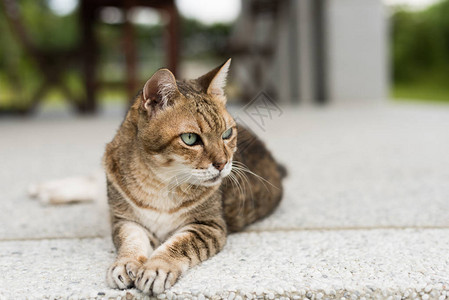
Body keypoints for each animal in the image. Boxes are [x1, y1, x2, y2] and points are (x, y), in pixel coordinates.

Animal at [102, 59, 284, 296]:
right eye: (190, 138)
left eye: (227, 134)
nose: (223, 163)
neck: (160, 181)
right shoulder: (125, 220)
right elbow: (131, 241)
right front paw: (125, 263)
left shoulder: (208, 226)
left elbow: (179, 245)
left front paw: (156, 268)